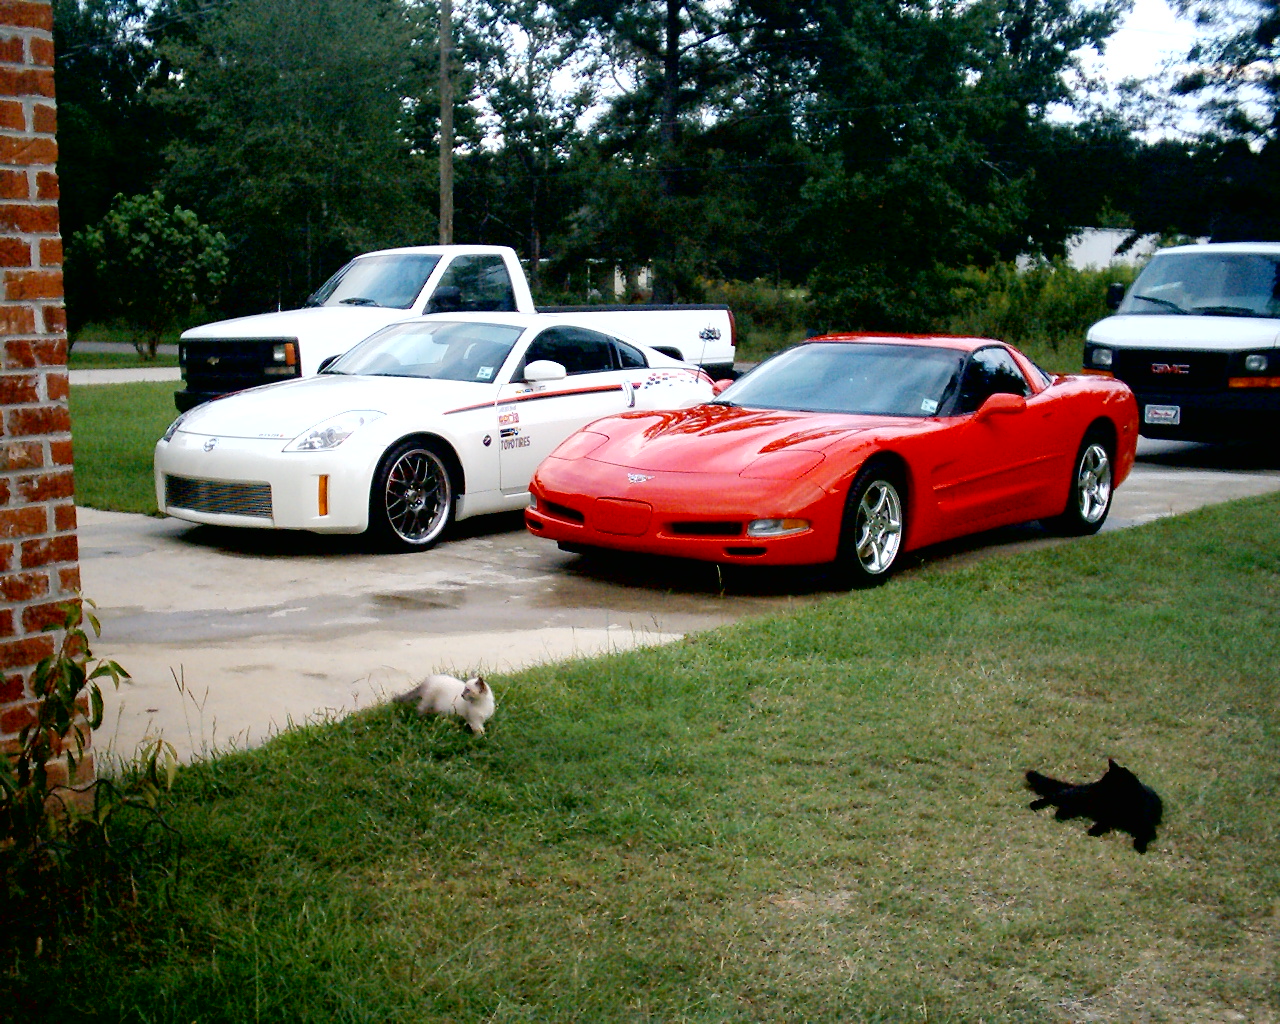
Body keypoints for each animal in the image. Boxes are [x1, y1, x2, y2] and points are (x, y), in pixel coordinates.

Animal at [1024, 757, 1167, 849]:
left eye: (1107, 783)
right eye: (1103, 781)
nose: (1097, 785)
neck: (1123, 804)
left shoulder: (1147, 827)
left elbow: (1143, 835)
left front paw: (1139, 846)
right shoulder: (1108, 815)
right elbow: (1105, 822)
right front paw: (1094, 830)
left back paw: (1061, 814)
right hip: (1080, 797)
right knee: (1054, 796)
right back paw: (1036, 805)